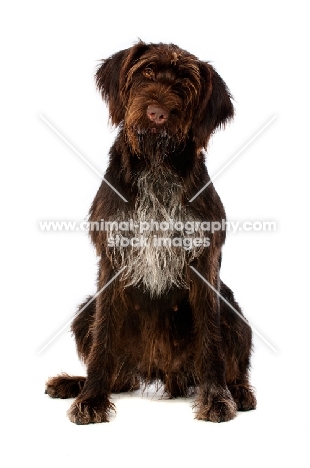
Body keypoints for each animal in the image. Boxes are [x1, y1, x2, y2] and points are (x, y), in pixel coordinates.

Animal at [44, 41, 256, 424]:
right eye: (146, 72)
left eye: (186, 84)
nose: (158, 113)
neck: (157, 164)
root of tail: (163, 373)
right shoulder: (112, 259)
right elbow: (103, 340)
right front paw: (91, 398)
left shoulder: (204, 260)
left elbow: (210, 340)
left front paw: (217, 398)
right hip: (85, 311)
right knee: (119, 375)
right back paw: (75, 383)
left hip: (233, 313)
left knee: (233, 364)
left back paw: (238, 391)